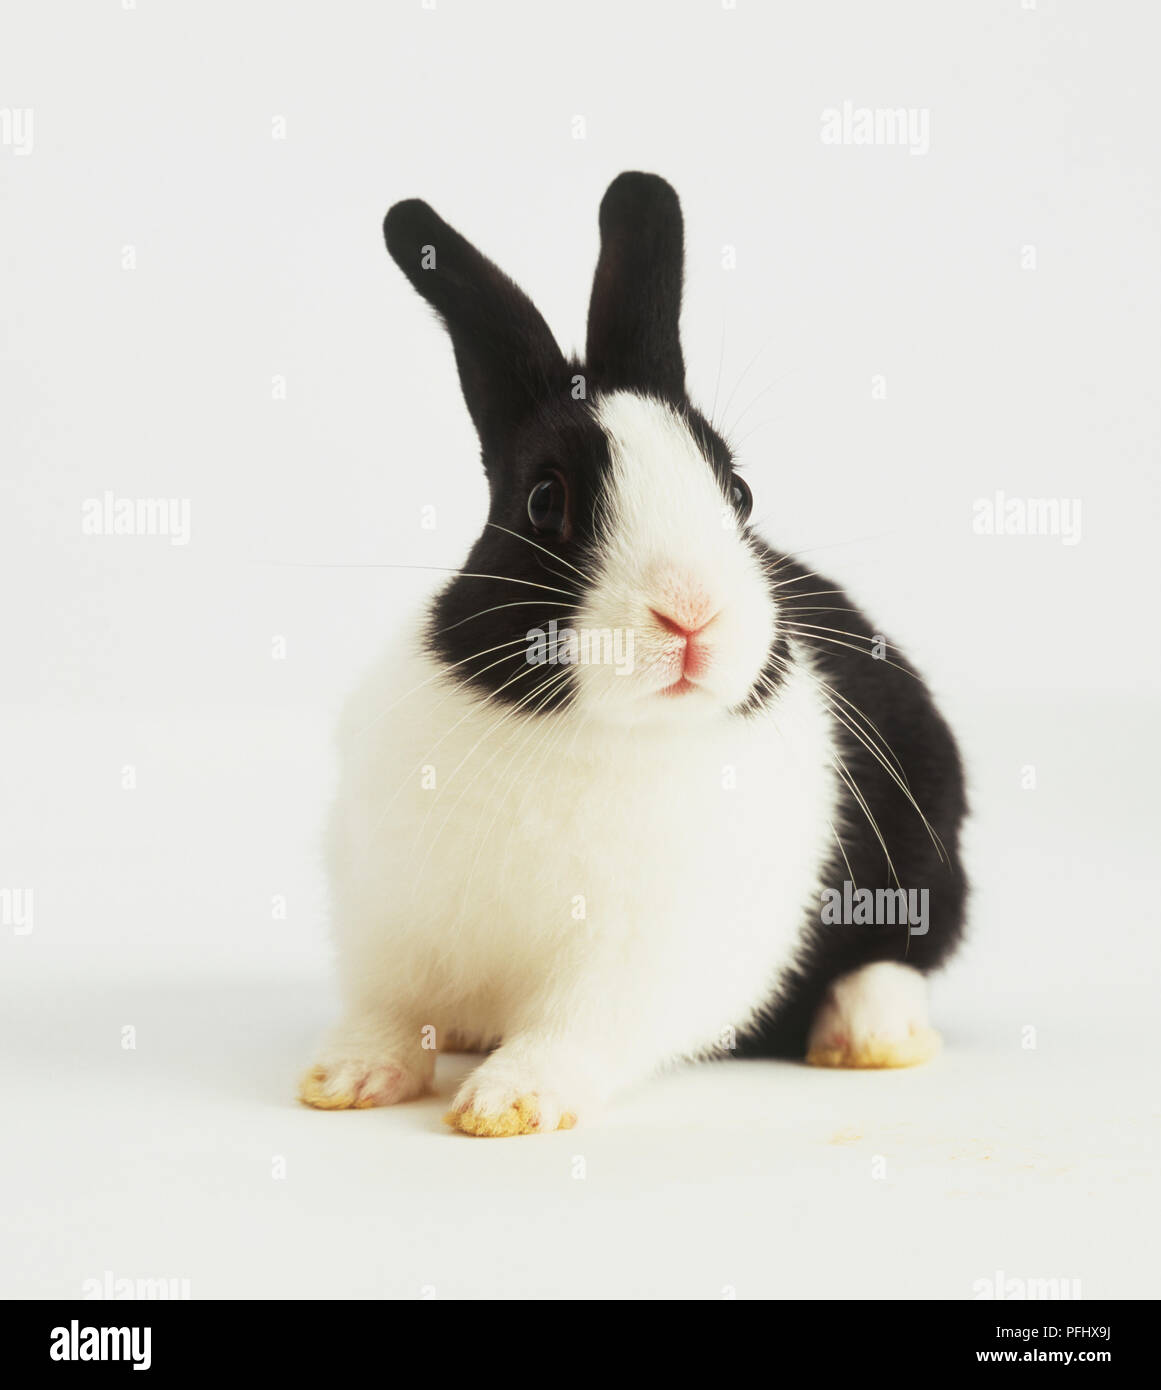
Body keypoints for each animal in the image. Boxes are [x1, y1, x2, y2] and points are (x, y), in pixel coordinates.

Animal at [298, 171, 967, 1136]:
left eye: (738, 491)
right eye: (545, 500)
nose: (690, 614)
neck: (589, 727)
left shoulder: (636, 962)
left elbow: (576, 1030)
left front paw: (507, 1101)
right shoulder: (391, 924)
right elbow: (388, 1013)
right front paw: (346, 1079)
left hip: (924, 852)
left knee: (899, 954)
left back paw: (869, 1036)